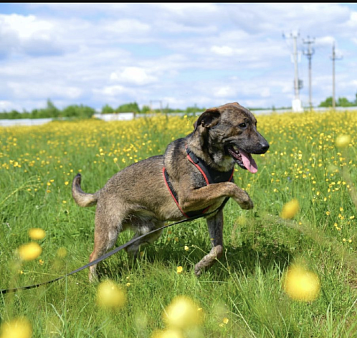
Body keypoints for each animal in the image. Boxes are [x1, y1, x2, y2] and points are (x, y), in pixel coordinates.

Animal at [71, 101, 268, 282]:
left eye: (255, 123)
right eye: (242, 125)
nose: (266, 146)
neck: (208, 161)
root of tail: (101, 190)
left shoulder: (214, 215)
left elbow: (218, 249)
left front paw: (201, 267)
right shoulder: (188, 198)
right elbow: (226, 186)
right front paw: (244, 199)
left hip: (153, 229)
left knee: (129, 247)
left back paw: (135, 271)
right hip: (110, 233)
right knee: (93, 258)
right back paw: (94, 282)